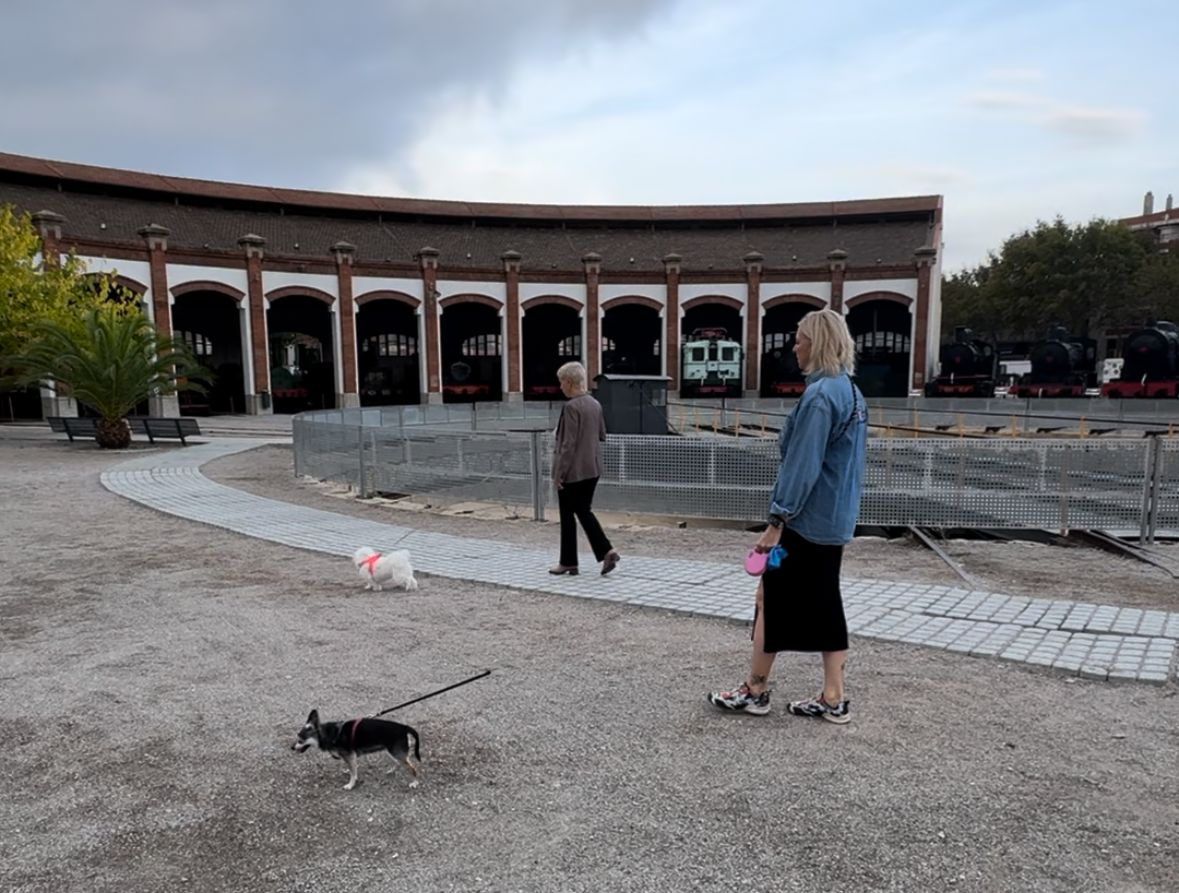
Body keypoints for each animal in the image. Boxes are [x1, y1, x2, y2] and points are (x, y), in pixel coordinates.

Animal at [292, 707, 422, 792]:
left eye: (300, 740)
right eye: (297, 737)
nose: (291, 747)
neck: (331, 734)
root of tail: (404, 727)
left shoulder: (349, 756)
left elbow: (353, 772)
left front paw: (350, 785)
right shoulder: (350, 757)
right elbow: (352, 770)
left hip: (396, 753)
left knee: (413, 768)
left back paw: (415, 782)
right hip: (391, 752)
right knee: (398, 763)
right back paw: (392, 771)